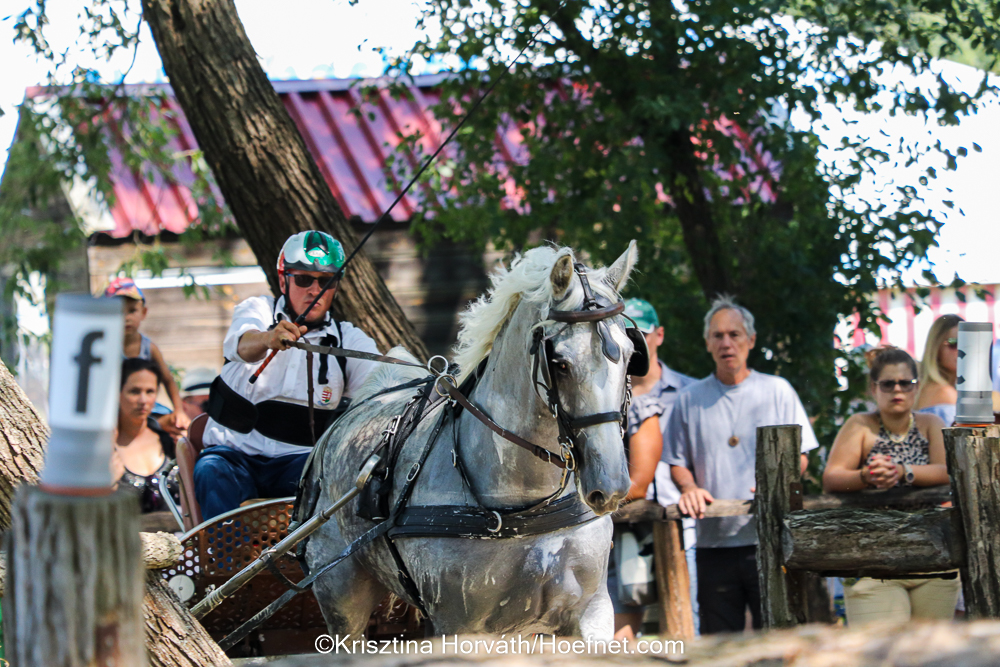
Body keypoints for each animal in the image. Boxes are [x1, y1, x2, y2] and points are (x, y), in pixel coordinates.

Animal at [301, 242, 640, 639]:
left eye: (630, 356)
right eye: (559, 362)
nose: (611, 484)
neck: (524, 500)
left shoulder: (592, 609)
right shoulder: (459, 625)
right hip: (340, 596)